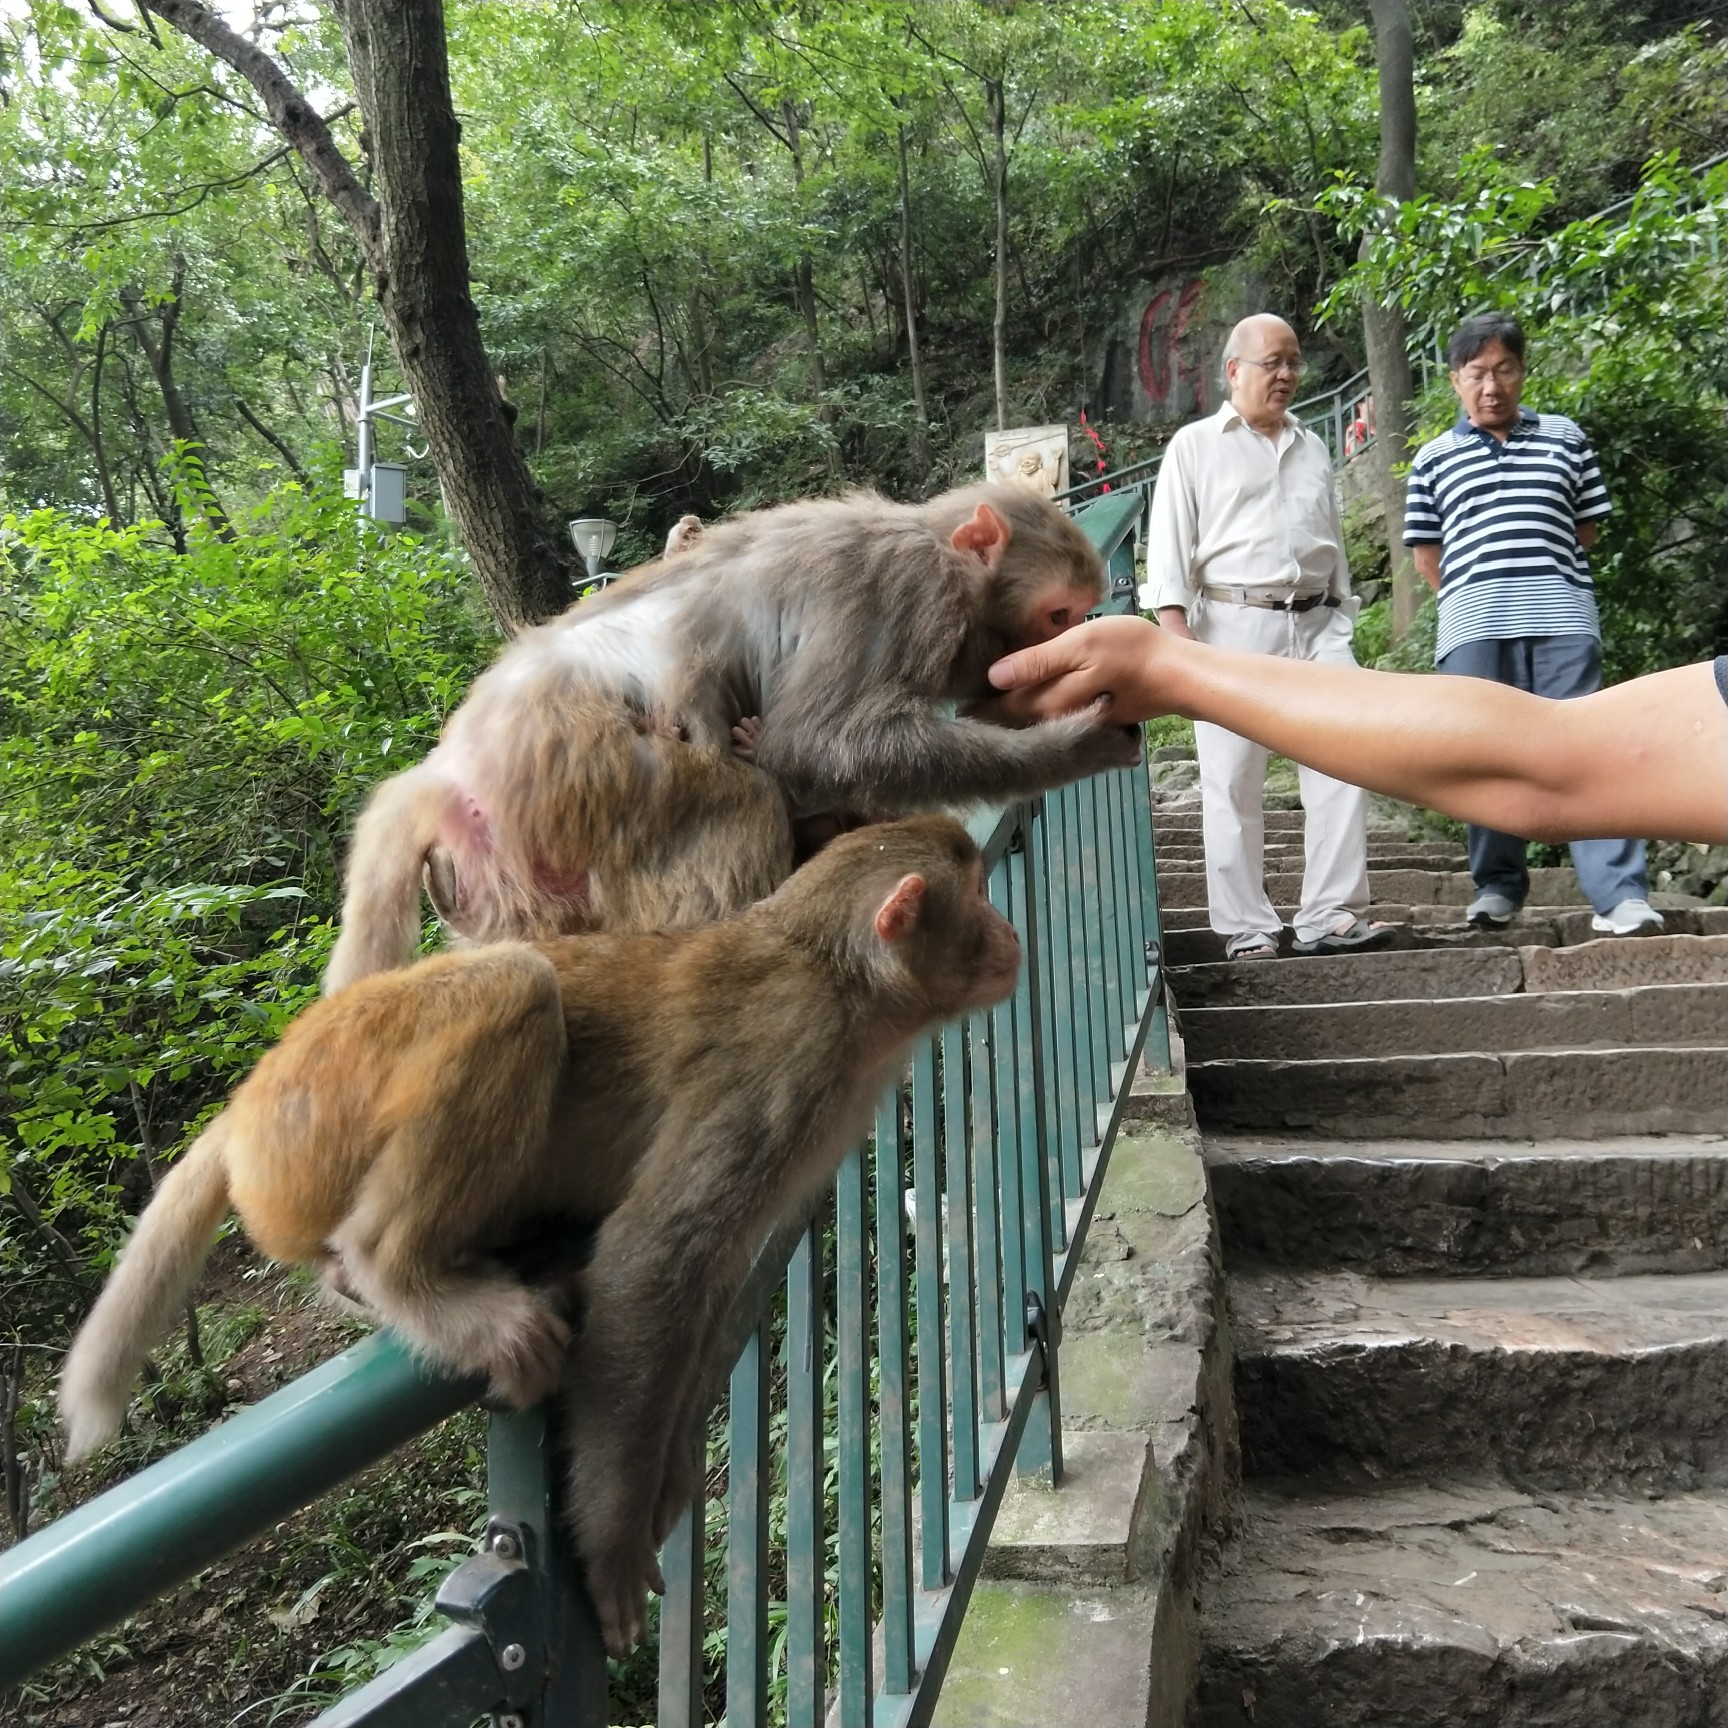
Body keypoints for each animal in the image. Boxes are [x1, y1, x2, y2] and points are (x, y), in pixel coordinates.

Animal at [60, 815, 1016, 1651]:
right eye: (977, 897)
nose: (1009, 934)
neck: (845, 983)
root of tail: (252, 1096)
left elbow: (703, 1280)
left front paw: (668, 1473)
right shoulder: (791, 1054)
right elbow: (654, 1255)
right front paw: (615, 1538)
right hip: (319, 1116)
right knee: (514, 987)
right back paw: (402, 1274)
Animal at [323, 487, 1133, 1002]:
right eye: (1058, 613)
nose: (1071, 638)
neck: (937, 550)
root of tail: (447, 770)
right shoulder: (909, 592)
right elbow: (817, 741)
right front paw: (1072, 745)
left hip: (507, 887)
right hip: (581, 772)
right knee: (737, 798)